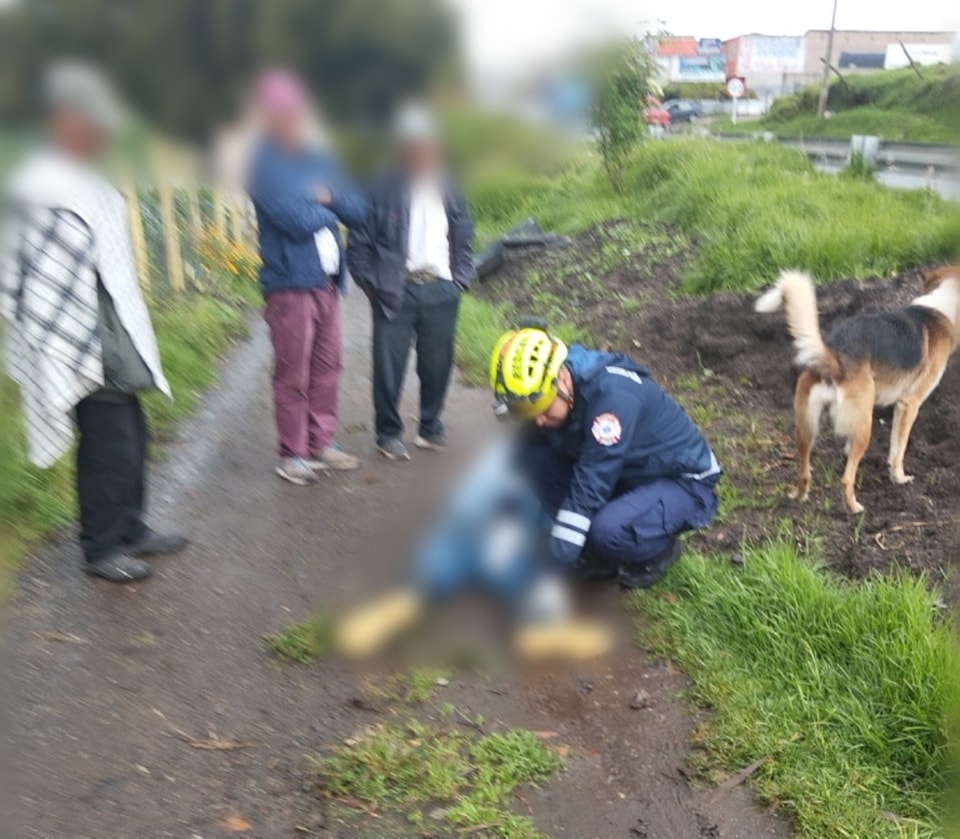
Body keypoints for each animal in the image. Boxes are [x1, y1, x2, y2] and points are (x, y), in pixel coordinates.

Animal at [756, 270, 960, 516]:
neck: (940, 307)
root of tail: (836, 358)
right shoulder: (908, 404)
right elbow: (897, 449)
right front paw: (899, 478)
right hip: (864, 427)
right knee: (846, 479)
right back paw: (854, 508)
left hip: (806, 427)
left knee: (804, 472)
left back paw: (799, 497)